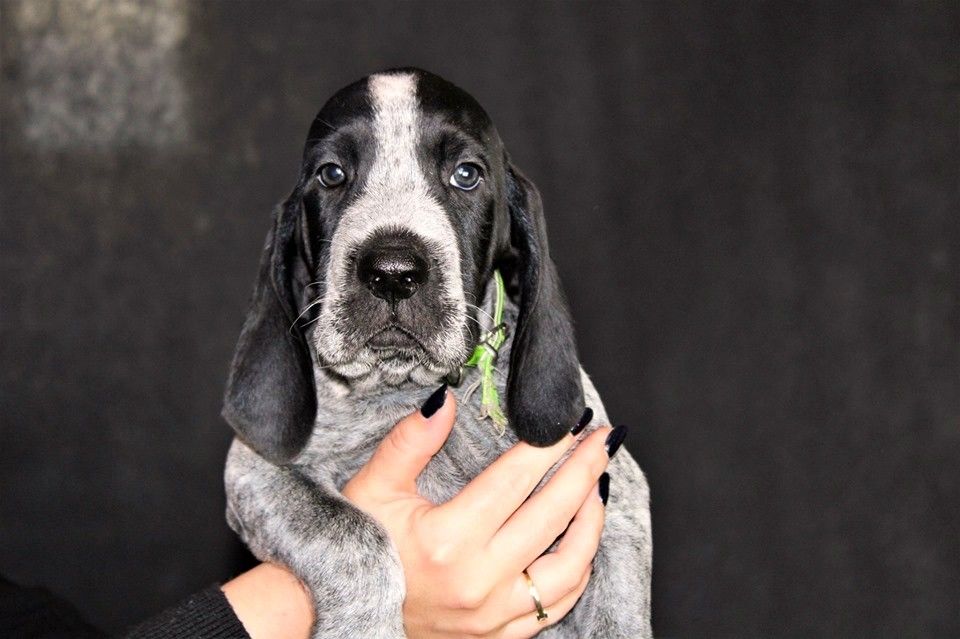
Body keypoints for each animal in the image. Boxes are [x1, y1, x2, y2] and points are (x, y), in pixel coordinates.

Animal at [222, 68, 652, 638]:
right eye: (331, 174)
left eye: (466, 175)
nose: (392, 272)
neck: (408, 388)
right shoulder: (255, 473)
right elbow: (351, 533)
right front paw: (364, 628)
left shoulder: (615, 493)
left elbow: (618, 610)